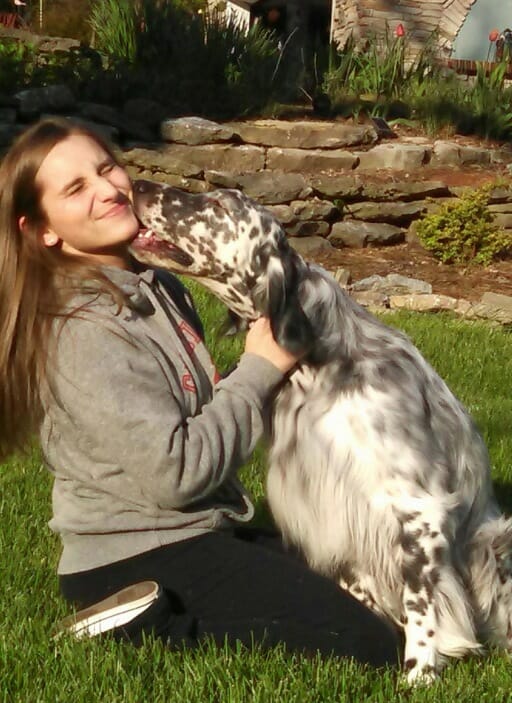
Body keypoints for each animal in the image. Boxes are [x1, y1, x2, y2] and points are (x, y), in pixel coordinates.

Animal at [130, 180, 512, 680]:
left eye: (218, 205)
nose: (138, 184)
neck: (317, 368)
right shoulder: (330, 509)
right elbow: (361, 586)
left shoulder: (416, 508)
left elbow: (421, 601)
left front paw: (419, 672)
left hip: (495, 540)